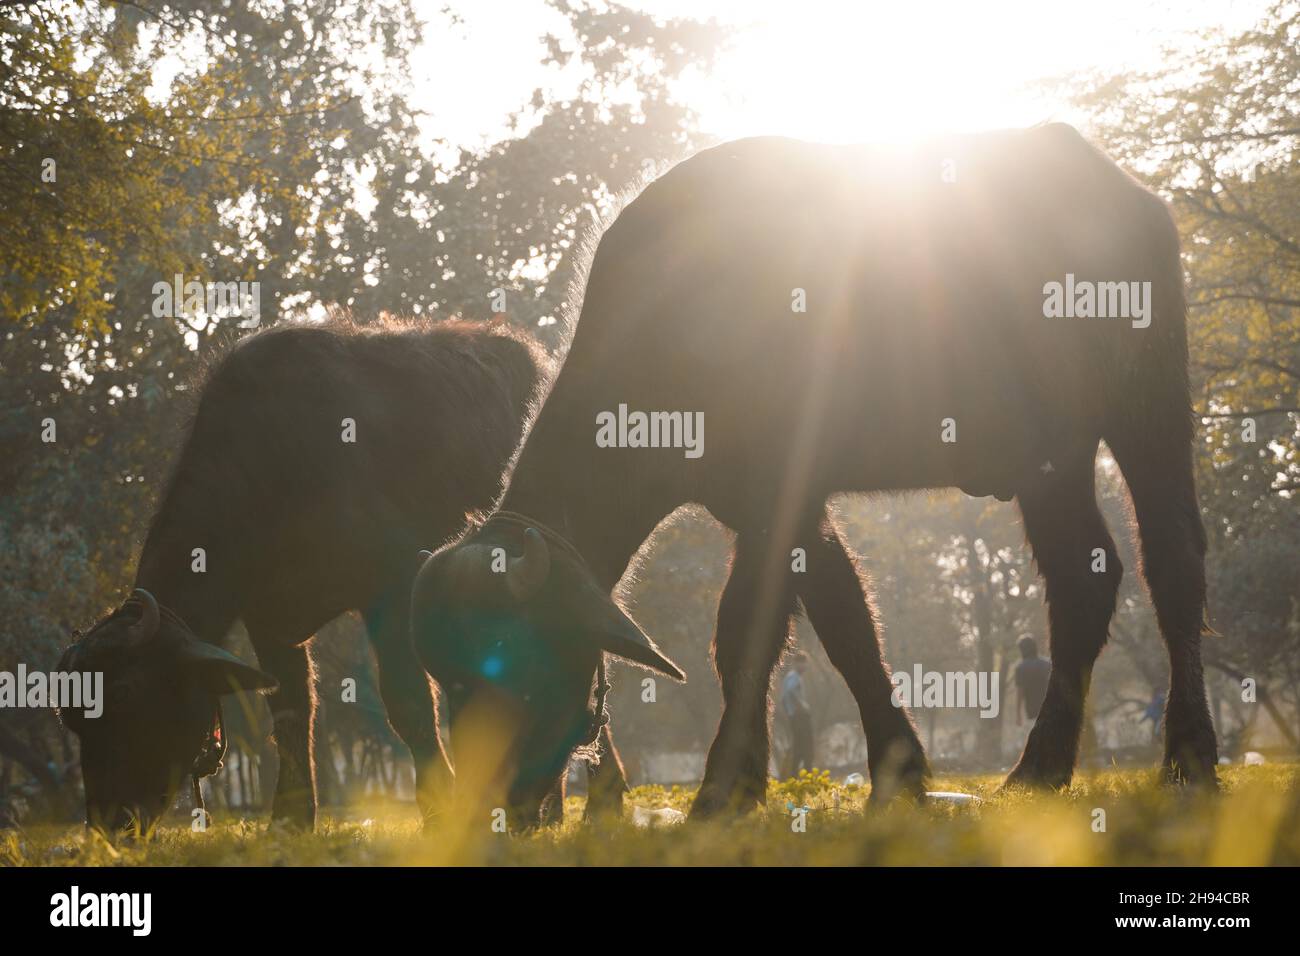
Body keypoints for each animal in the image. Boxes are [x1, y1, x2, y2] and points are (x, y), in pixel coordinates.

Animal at [57, 317, 538, 832]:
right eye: (71, 716)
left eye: (124, 692)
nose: (107, 822)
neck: (274, 471)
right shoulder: (266, 618)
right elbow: (290, 707)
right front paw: (290, 816)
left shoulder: (391, 585)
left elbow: (407, 702)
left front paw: (440, 811)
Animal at [413, 123, 1216, 822]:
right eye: (448, 684)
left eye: (512, 666)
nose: (499, 806)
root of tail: (1126, 192)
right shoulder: (761, 506)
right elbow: (798, 628)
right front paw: (820, 779)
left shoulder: (785, 495)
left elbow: (789, 629)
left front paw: (754, 788)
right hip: (1052, 456)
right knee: (1083, 576)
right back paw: (1039, 769)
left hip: (1148, 405)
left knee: (1173, 559)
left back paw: (1190, 757)